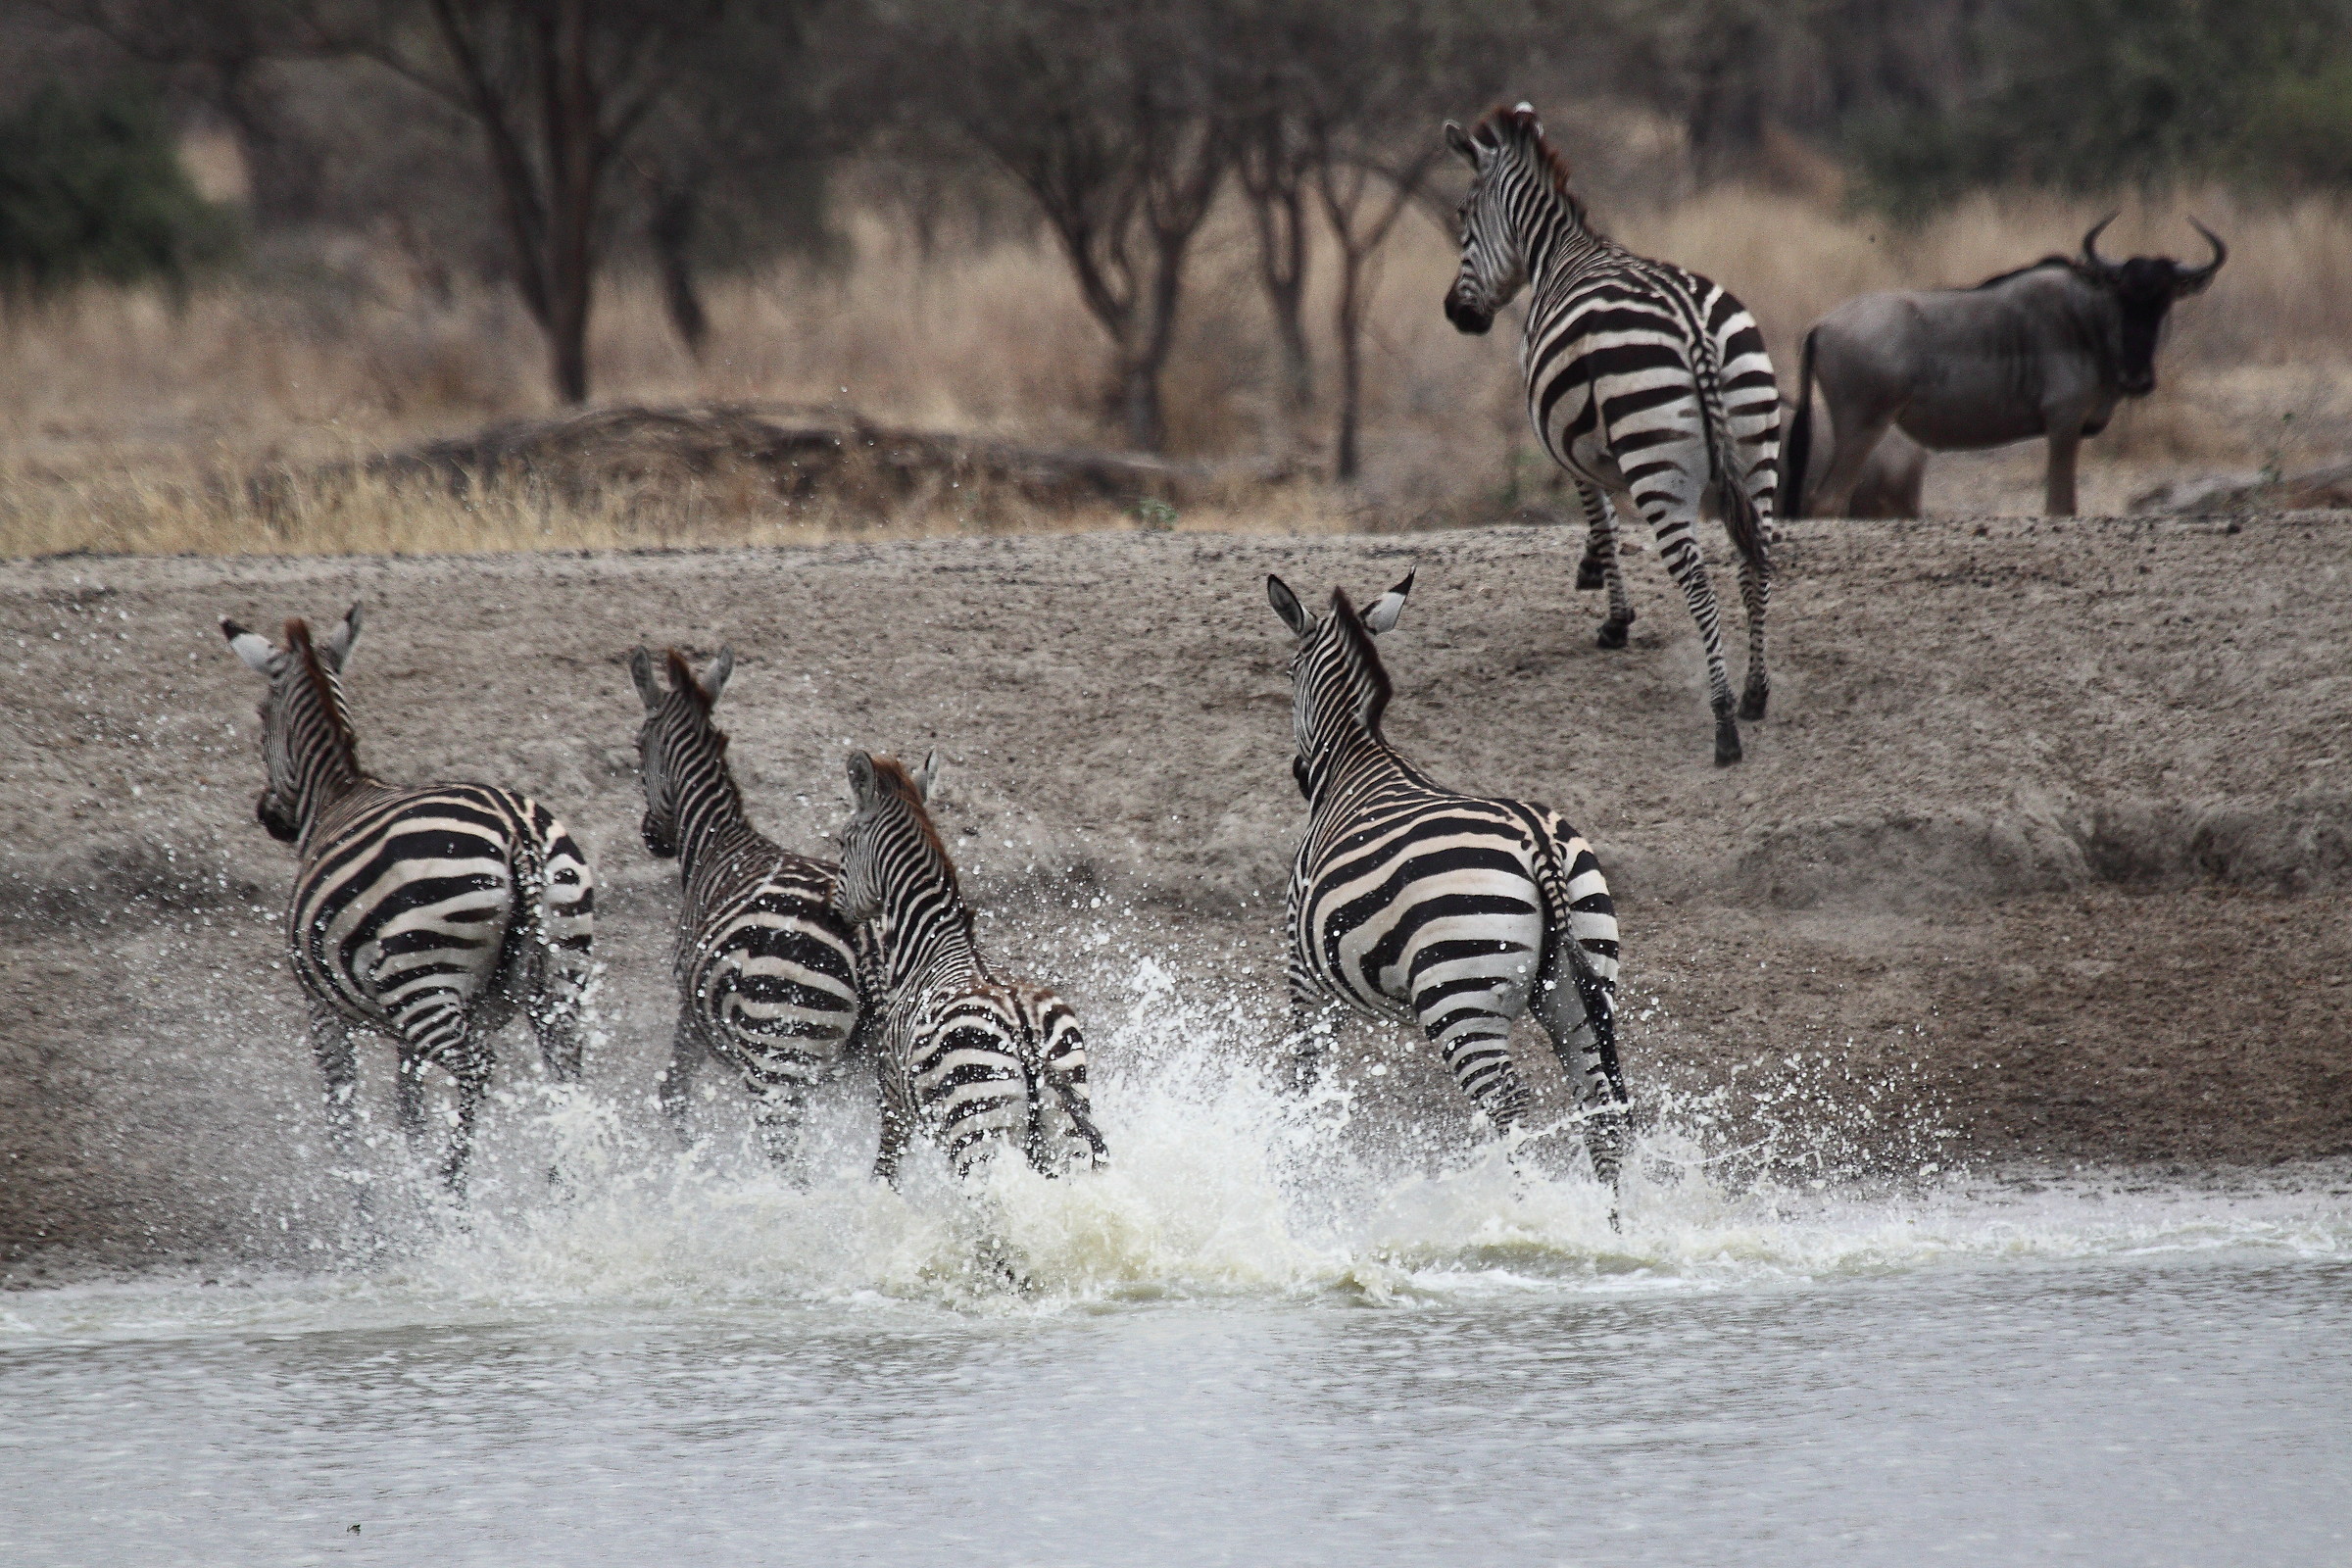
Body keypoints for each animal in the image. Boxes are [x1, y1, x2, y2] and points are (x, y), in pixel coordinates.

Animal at [220, 604, 594, 1196]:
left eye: (261, 717)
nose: (268, 816)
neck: (338, 794)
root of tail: (517, 833)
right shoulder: (402, 1035)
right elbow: (409, 1111)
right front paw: (413, 1191)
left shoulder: (321, 1011)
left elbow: (343, 1120)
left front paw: (371, 1216)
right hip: (558, 978)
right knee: (569, 1083)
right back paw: (560, 1200)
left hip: (424, 984)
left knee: (478, 1068)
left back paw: (453, 1199)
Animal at [629, 646, 870, 1174]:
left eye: (637, 748)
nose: (652, 839)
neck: (715, 842)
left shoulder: (690, 1004)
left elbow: (672, 1094)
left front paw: (695, 1167)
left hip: (777, 1062)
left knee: (790, 1165)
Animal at [831, 750, 1106, 1184]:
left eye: (842, 842)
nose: (834, 911)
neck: (930, 946)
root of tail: (1026, 1033)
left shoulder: (893, 1095)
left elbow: (884, 1174)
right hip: (1066, 1138)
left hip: (976, 1127)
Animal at [1266, 570, 1630, 1205]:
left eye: (1290, 674)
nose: (1298, 773)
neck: (1357, 760)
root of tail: (1537, 841)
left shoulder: (1306, 971)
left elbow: (1306, 1078)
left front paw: (1300, 1167)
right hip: (1581, 987)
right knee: (1598, 1107)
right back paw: (1608, 1223)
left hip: (1459, 994)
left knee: (1508, 1102)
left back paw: (1518, 1212)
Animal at [1444, 101, 1779, 767]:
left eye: (1464, 217)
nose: (1454, 314)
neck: (1558, 252)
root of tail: (1693, 324)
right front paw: (1596, 578)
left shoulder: (1561, 437)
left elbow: (1597, 513)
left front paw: (1612, 613)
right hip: (1756, 444)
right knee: (1755, 562)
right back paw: (1755, 694)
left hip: (1655, 463)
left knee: (1698, 580)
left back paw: (1724, 722)